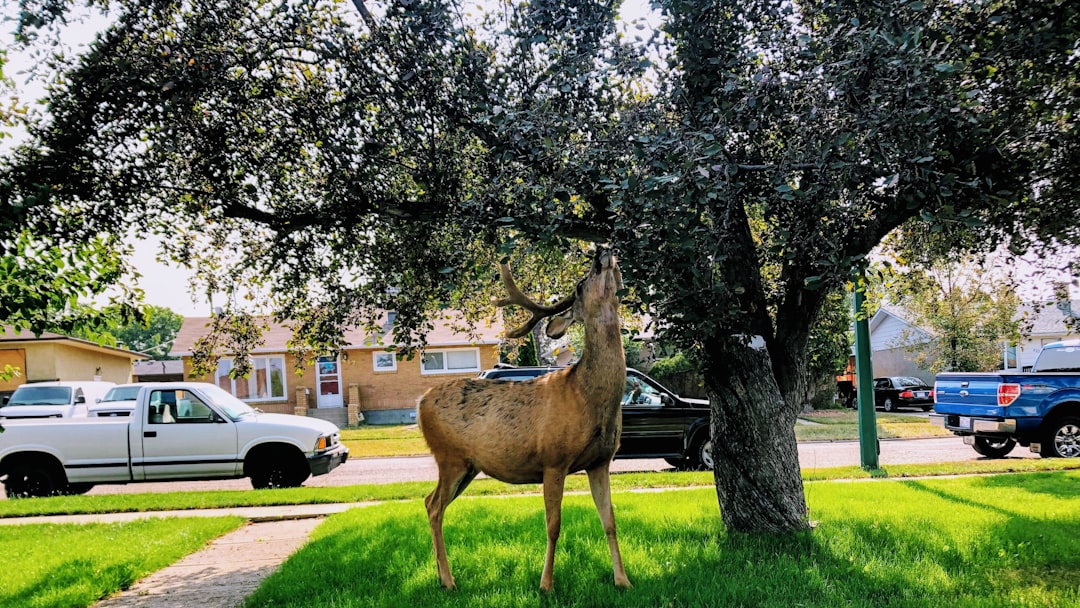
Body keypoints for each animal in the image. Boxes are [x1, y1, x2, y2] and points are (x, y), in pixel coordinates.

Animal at [414, 248, 630, 596]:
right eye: (581, 284)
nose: (602, 252)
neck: (588, 397)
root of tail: (420, 402)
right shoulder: (554, 459)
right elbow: (553, 525)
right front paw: (546, 585)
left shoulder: (600, 461)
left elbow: (609, 521)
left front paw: (622, 580)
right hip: (449, 457)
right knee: (434, 506)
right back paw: (449, 580)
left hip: (467, 466)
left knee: (429, 501)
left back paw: (441, 576)